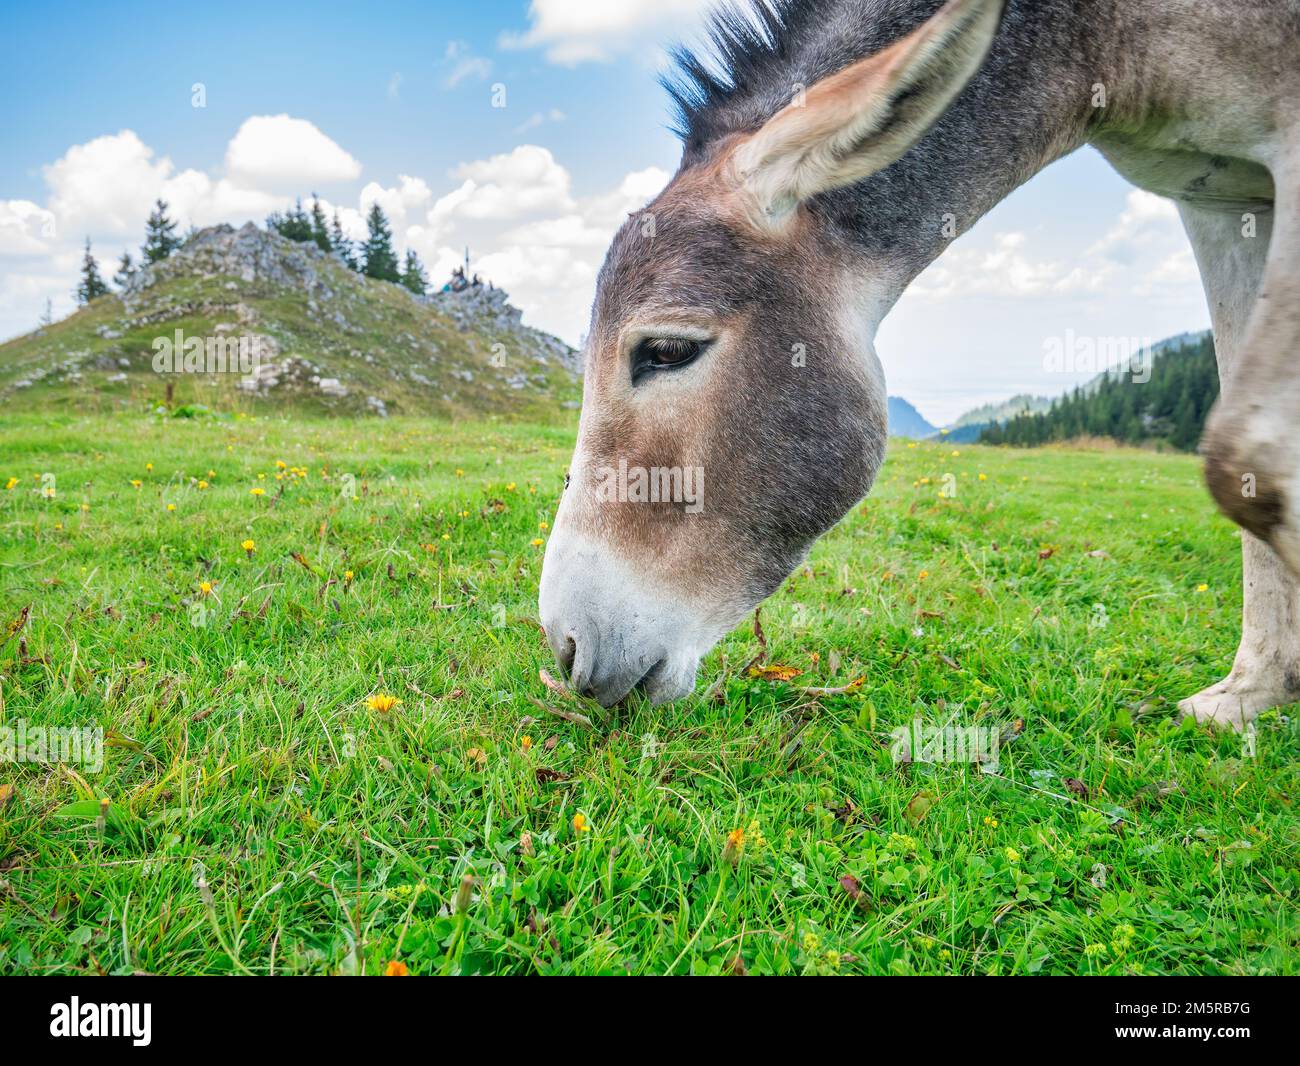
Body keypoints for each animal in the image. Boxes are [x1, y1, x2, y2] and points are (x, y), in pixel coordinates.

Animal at [538, 0, 1300, 730]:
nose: (566, 649)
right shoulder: (1219, 201)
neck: (1103, 36)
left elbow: (1244, 458)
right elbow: (1245, 459)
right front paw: (1252, 693)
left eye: (667, 351)